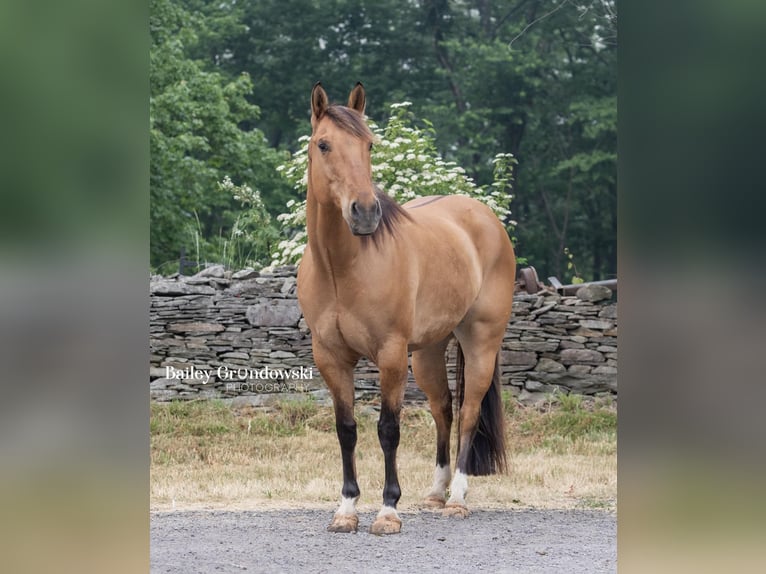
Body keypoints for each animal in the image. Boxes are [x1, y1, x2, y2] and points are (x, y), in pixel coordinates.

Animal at [296, 82, 520, 536]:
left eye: (369, 144)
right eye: (323, 144)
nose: (365, 213)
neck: (342, 268)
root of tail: (484, 217)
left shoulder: (391, 354)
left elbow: (388, 429)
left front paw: (387, 510)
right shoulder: (330, 357)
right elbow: (346, 429)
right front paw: (346, 509)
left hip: (480, 342)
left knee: (468, 412)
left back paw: (457, 499)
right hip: (429, 352)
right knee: (443, 409)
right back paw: (436, 493)